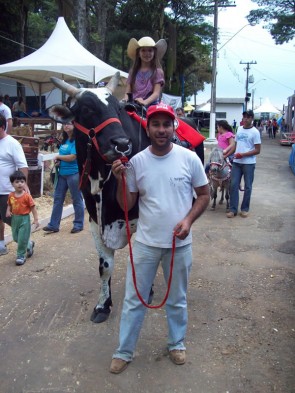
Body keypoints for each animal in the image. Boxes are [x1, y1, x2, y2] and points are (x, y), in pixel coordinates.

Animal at [49, 72, 206, 322]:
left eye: (118, 109)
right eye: (87, 109)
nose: (122, 145)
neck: (100, 179)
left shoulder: (141, 218)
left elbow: (146, 258)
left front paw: (147, 291)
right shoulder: (95, 220)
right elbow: (105, 267)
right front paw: (103, 305)